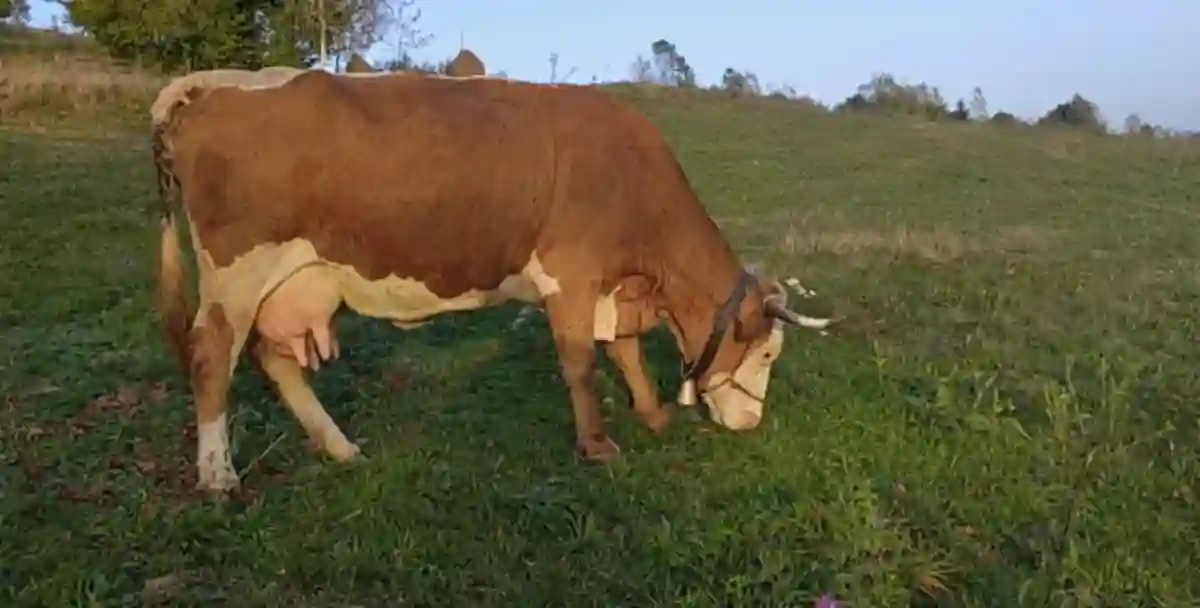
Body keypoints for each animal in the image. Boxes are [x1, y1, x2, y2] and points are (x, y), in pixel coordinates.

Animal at [151, 69, 832, 493]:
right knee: (211, 357)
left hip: (293, 281)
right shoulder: (571, 274)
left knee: (274, 358)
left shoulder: (613, 288)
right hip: (237, 272)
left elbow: (627, 350)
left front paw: (653, 414)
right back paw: (217, 476)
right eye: (766, 351)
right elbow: (582, 364)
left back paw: (339, 447)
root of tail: (213, 84)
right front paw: (598, 446)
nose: (749, 424)